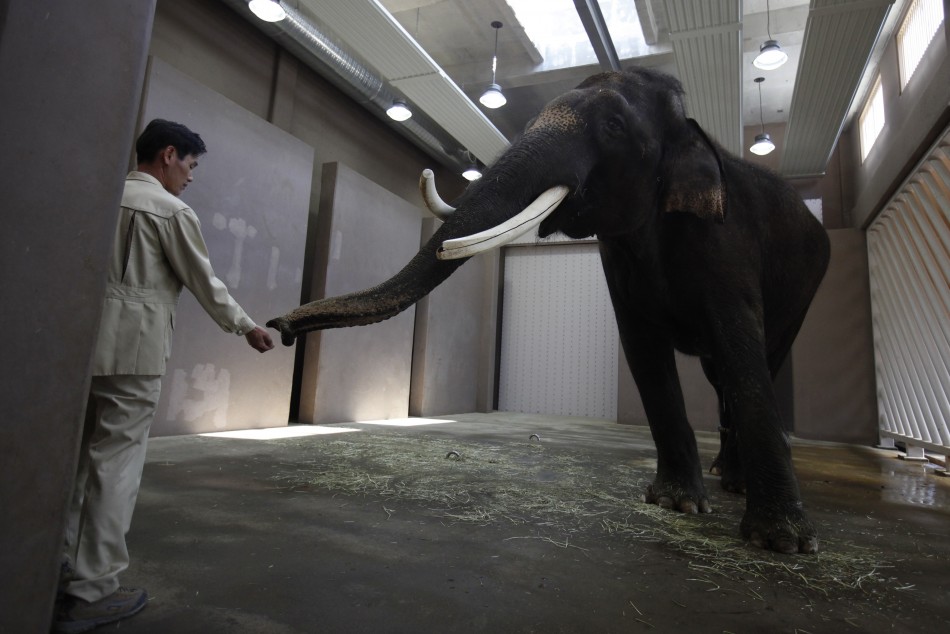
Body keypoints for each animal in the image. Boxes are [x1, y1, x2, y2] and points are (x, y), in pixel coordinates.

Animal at [268, 66, 830, 554]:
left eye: (613, 126)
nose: (278, 328)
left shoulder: (725, 242)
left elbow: (740, 350)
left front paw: (782, 543)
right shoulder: (619, 264)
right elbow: (644, 353)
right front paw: (676, 504)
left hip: (806, 290)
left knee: (755, 363)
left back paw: (736, 482)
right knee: (718, 375)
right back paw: (724, 478)